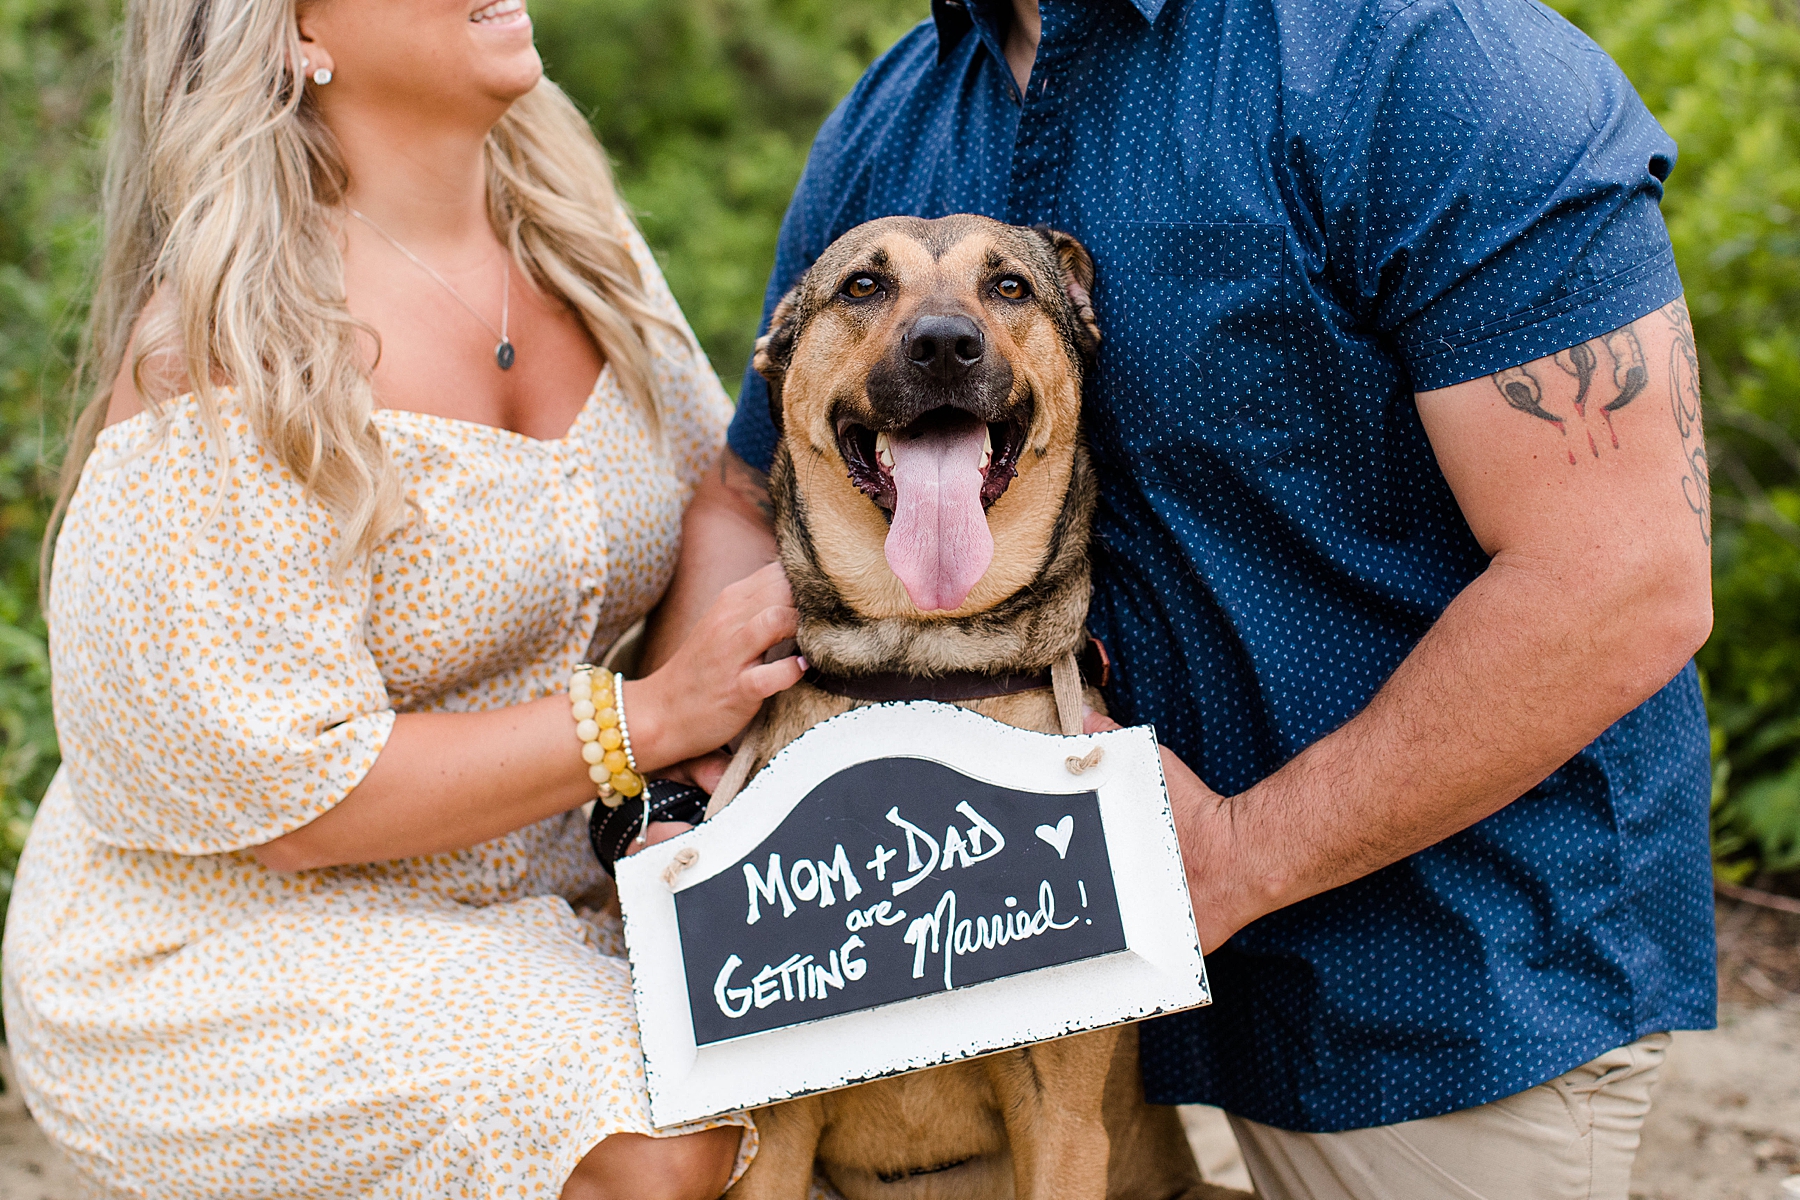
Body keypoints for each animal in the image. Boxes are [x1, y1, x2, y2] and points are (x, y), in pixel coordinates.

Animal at [702, 218, 1252, 1200]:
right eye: (862, 286)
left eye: (1008, 287)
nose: (945, 345)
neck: (925, 663)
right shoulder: (776, 1133)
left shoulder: (1062, 1121)